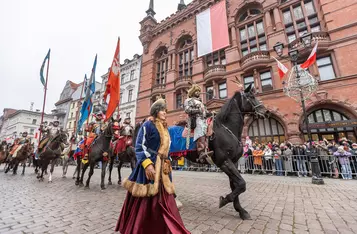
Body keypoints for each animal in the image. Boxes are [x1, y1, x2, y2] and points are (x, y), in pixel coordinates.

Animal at [133, 85, 268, 220]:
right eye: (251, 96)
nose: (265, 111)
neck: (226, 129)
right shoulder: (224, 162)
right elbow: (241, 184)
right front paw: (225, 200)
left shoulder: (233, 162)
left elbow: (236, 185)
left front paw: (240, 210)